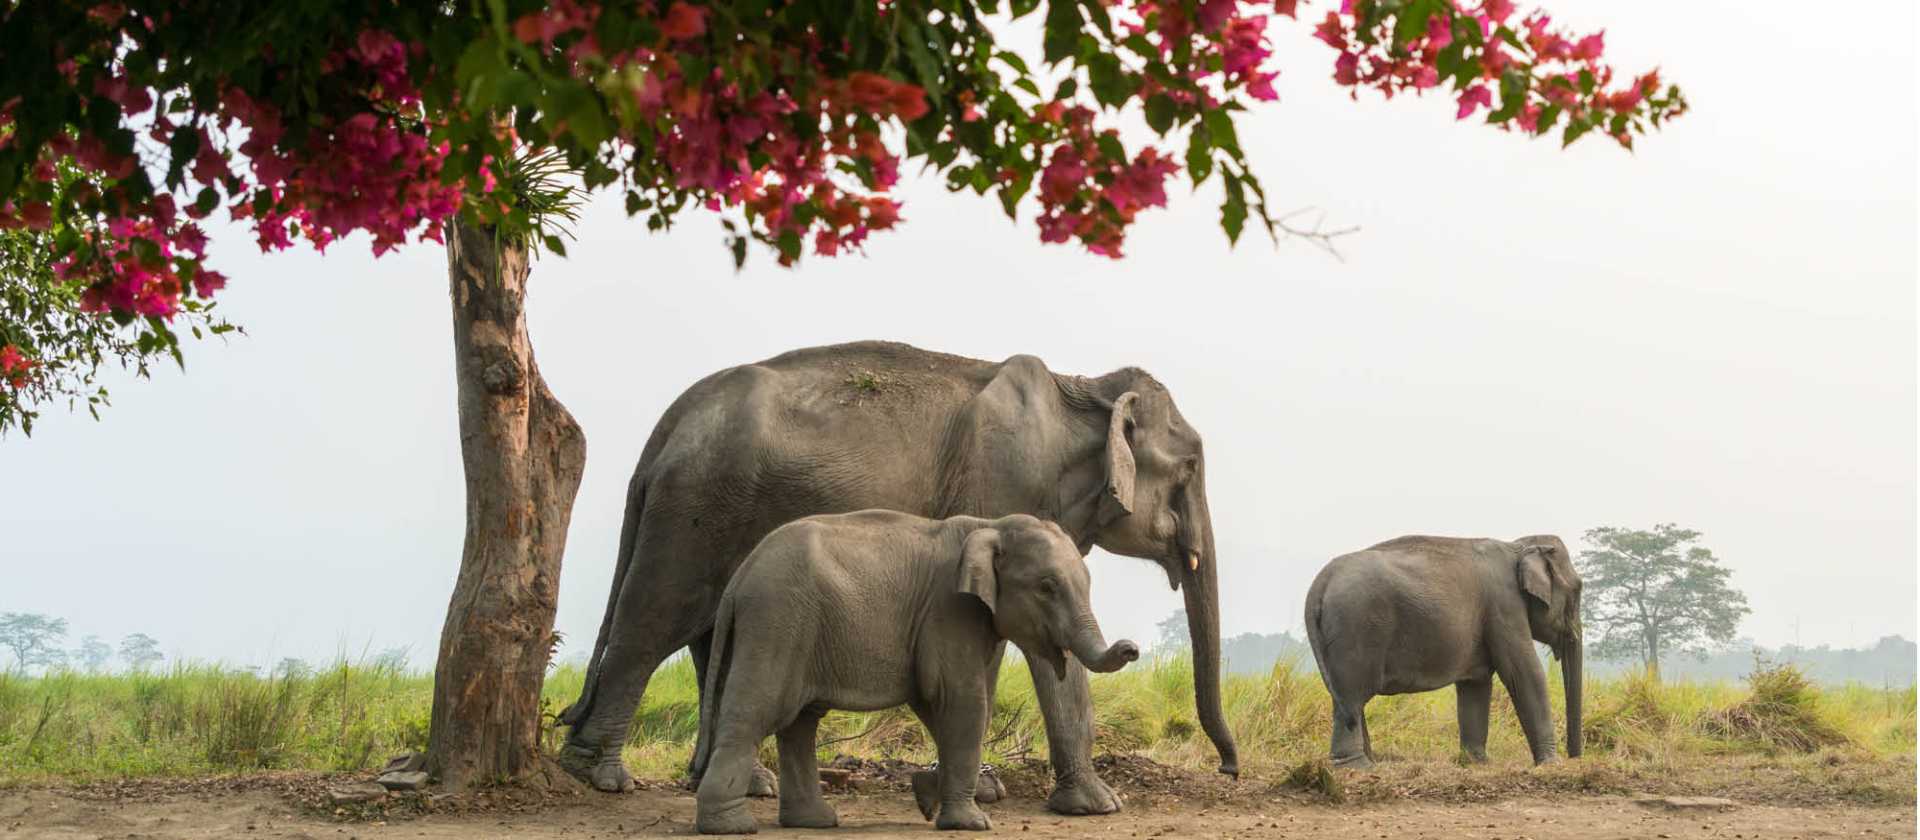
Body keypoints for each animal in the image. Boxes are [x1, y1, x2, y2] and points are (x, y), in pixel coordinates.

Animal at [691, 511, 1140, 834]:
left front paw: (927, 798)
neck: (991, 525)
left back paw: (814, 821)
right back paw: (730, 827)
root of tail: (738, 579)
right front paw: (971, 824)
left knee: (800, 722)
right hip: (778, 621)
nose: (1132, 648)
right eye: (1046, 587)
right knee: (757, 711)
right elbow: (962, 701)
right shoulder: (950, 611)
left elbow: (946, 705)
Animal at [1303, 535, 1583, 768]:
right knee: (1352, 697)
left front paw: (1475, 763)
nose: (1575, 758)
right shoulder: (1505, 605)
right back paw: (1358, 767)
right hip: (1356, 628)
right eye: (1578, 589)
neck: (1517, 545)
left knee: (1345, 697)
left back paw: (1368, 762)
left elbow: (1475, 684)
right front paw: (1551, 764)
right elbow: (1524, 672)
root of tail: (1319, 583)